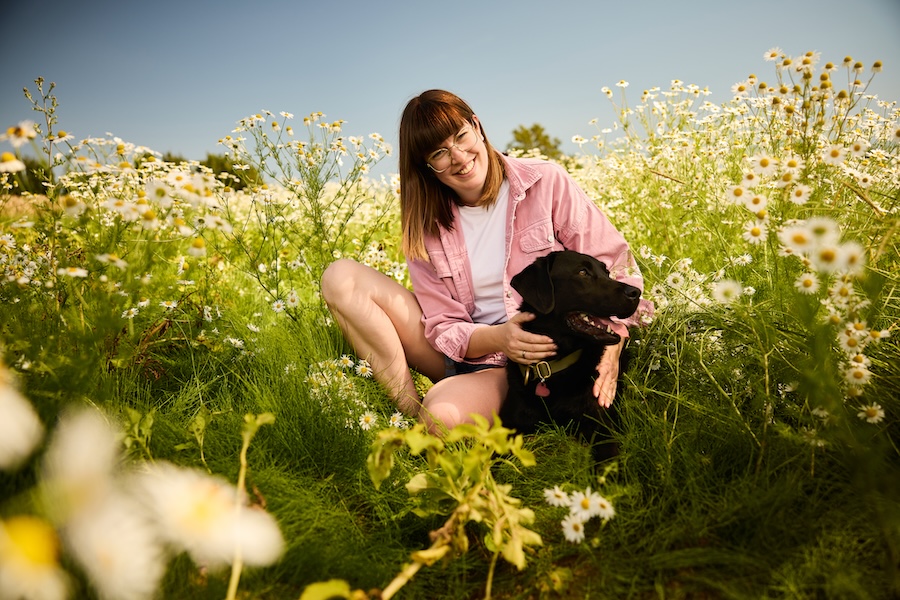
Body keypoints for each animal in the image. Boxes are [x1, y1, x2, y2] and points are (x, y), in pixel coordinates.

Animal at [500, 251, 640, 462]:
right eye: (582, 272)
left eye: (607, 272)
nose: (636, 292)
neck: (551, 370)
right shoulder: (508, 424)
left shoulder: (602, 426)